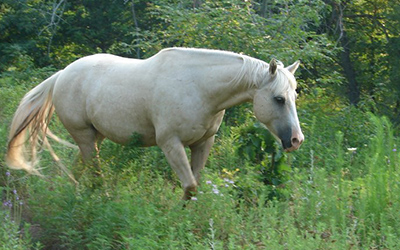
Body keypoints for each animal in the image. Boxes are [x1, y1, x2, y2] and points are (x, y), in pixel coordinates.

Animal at [5, 47, 304, 199]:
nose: (296, 140)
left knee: (79, 170)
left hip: (94, 137)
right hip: (86, 139)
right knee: (94, 175)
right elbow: (189, 185)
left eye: (295, 95)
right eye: (278, 98)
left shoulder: (203, 143)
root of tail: (62, 75)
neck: (199, 88)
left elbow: (194, 186)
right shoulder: (170, 143)